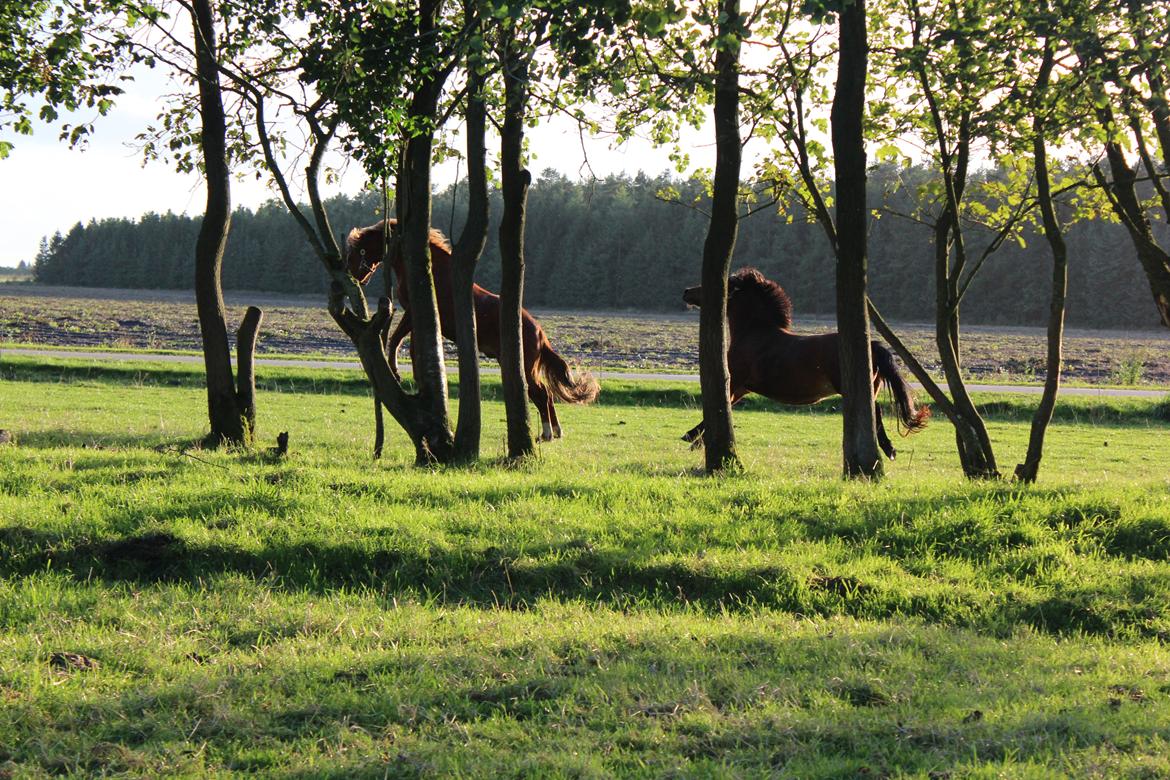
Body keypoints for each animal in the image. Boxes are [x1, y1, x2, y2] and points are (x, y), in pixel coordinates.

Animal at [341, 219, 599, 442]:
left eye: (358, 251)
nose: (353, 277)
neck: (430, 271)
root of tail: (539, 333)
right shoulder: (415, 316)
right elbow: (410, 346)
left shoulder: (412, 313)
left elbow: (397, 340)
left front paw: (397, 370)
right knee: (546, 394)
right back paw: (554, 432)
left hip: (523, 365)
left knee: (542, 394)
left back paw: (546, 433)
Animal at [683, 268, 926, 458]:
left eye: (726, 284)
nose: (686, 292)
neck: (755, 334)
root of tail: (872, 345)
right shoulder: (742, 388)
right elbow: (725, 407)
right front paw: (697, 441)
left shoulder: (735, 382)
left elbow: (718, 406)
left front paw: (690, 437)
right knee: (874, 412)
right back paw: (888, 448)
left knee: (873, 412)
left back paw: (889, 449)